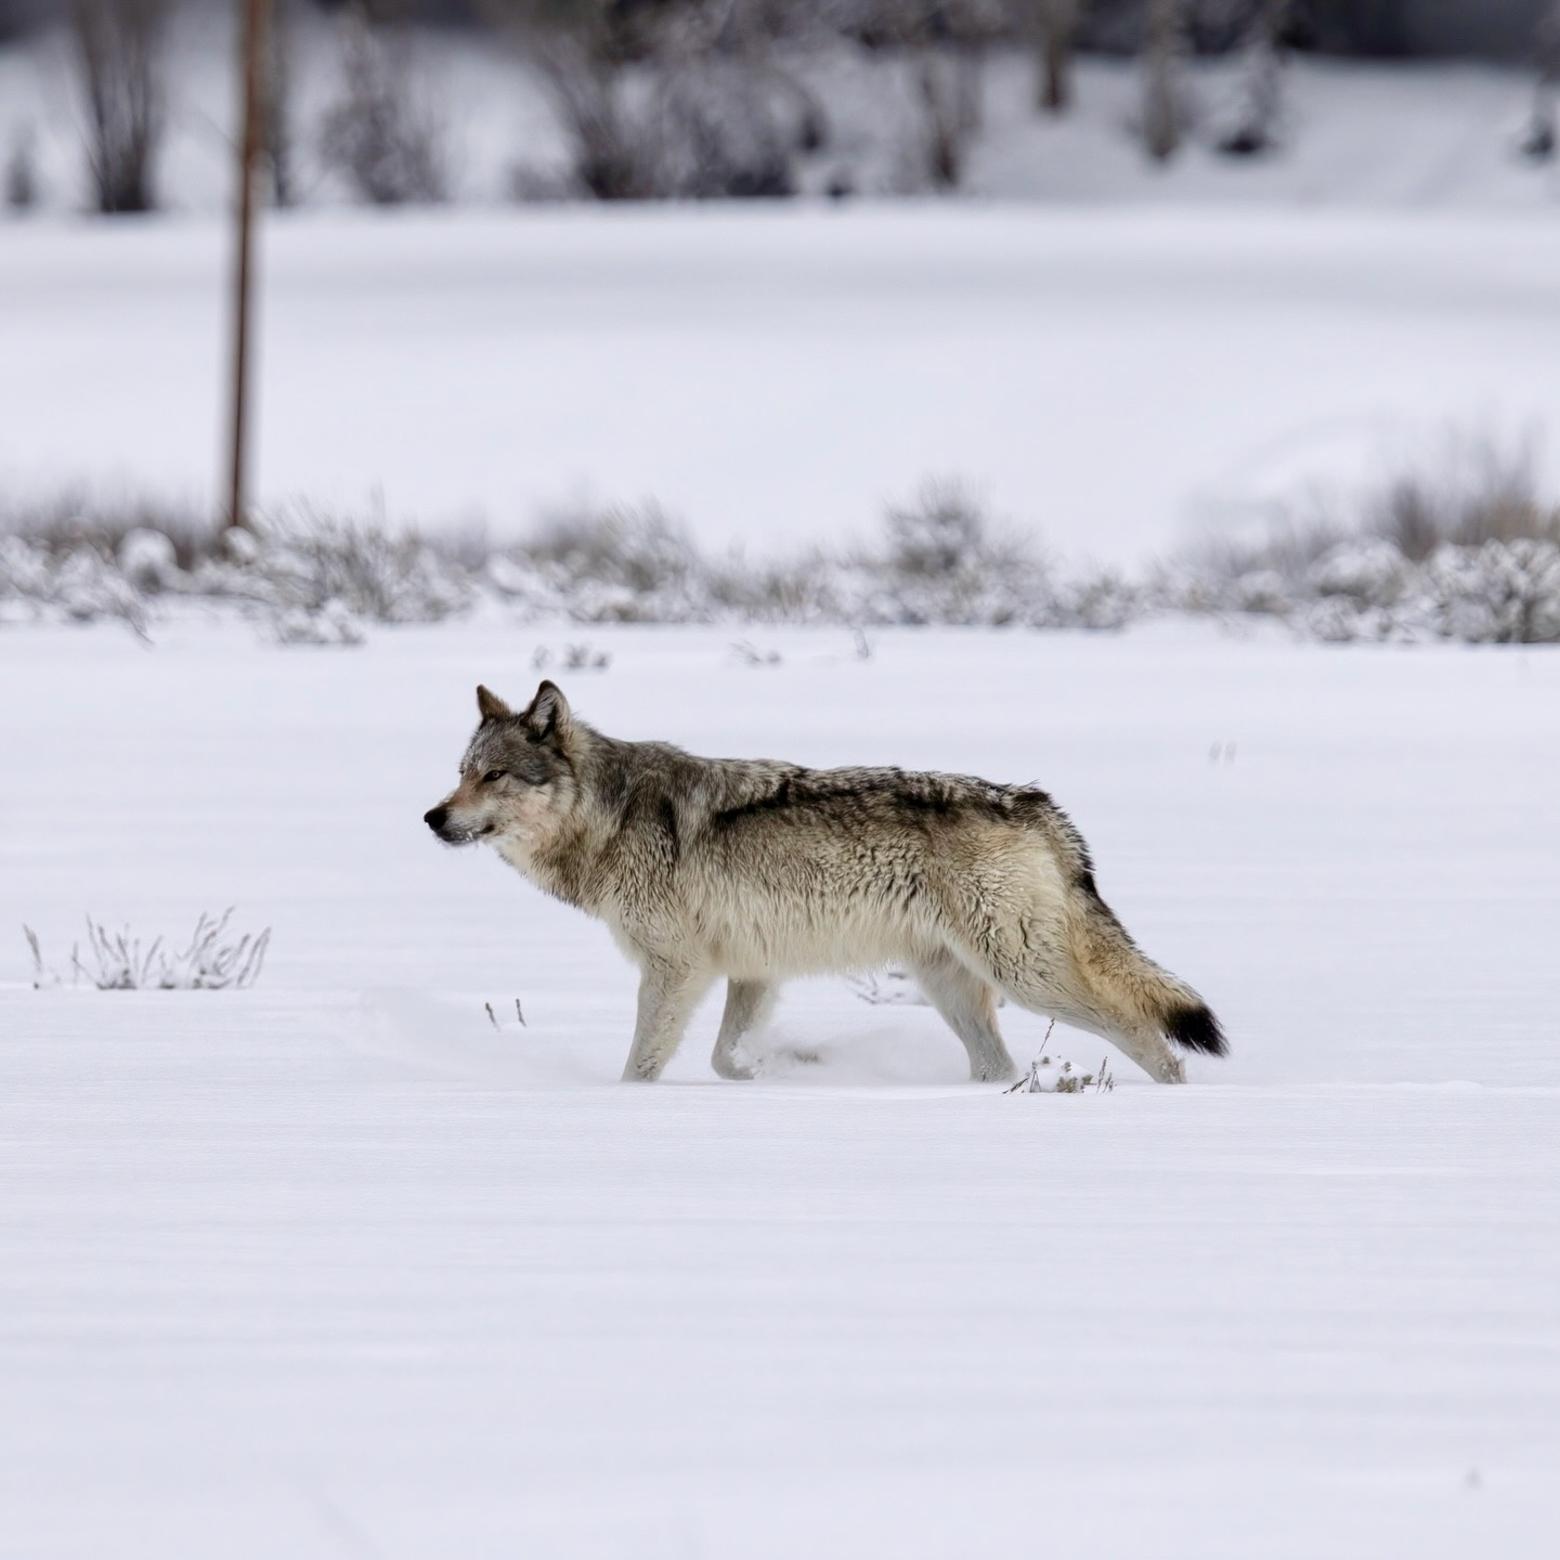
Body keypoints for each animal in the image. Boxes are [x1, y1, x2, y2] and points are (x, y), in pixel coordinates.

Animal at [421, 683, 1223, 1085]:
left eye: (493, 775)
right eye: (461, 771)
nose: (432, 817)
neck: (609, 815)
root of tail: (1034, 802)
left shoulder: (676, 969)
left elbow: (639, 1067)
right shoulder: (748, 970)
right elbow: (724, 1057)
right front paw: (780, 1068)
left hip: (1027, 975)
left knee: (1146, 1035)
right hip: (955, 985)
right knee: (997, 1065)